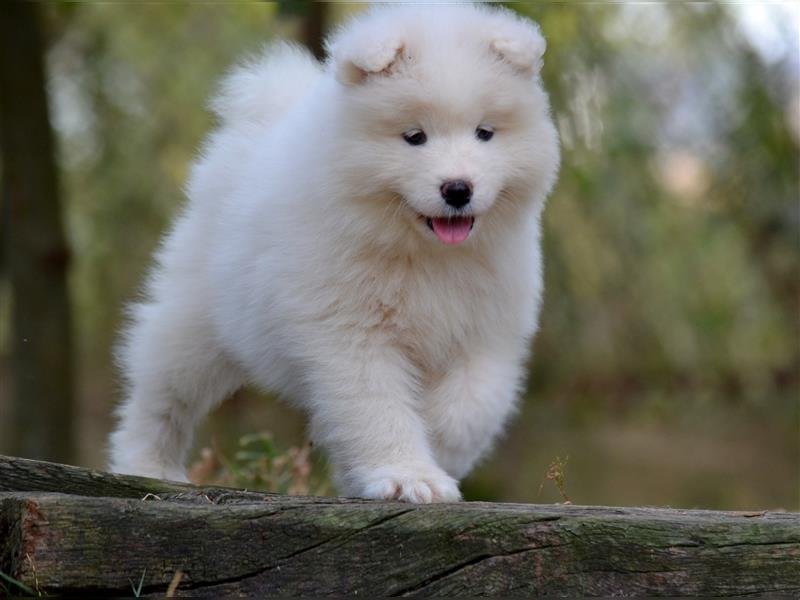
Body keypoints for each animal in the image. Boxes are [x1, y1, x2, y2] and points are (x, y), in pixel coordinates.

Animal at [109, 3, 560, 502]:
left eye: (485, 133)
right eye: (414, 137)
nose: (458, 189)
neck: (422, 253)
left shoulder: (487, 334)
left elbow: (467, 409)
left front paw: (430, 456)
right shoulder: (351, 333)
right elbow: (378, 408)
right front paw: (407, 475)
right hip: (193, 325)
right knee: (160, 399)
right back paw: (148, 465)